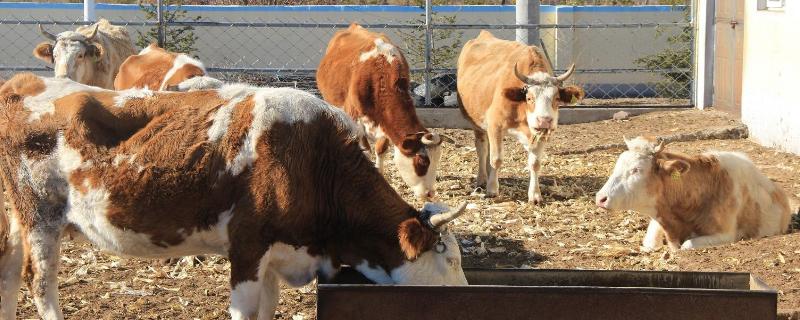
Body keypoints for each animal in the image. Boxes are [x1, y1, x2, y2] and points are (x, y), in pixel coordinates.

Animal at [0, 73, 468, 320]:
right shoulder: (248, 247)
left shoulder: (275, 255)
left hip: (19, 220)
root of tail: (25, 81)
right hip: (41, 219)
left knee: (9, 272)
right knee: (40, 283)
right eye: (448, 259)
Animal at [318, 23, 454, 200]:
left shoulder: (385, 123)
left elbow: (380, 148)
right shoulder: (354, 118)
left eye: (437, 160)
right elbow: (363, 149)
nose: (430, 193)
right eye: (421, 162)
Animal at [456, 30, 588, 205]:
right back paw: (482, 179)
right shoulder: (495, 125)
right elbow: (496, 159)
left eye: (557, 98)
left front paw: (535, 195)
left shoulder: (540, 134)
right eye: (529, 98)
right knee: (482, 148)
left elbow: (535, 163)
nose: (545, 120)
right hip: (475, 122)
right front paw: (492, 190)